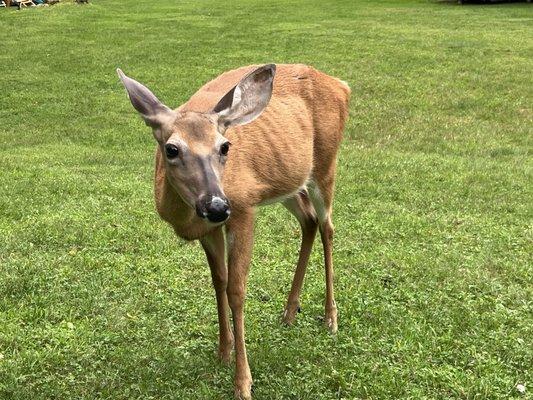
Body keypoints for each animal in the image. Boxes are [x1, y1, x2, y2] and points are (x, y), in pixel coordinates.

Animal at [117, 64, 350, 398]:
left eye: (224, 146)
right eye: (171, 149)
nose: (216, 205)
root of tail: (342, 86)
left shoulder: (243, 207)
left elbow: (236, 290)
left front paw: (243, 381)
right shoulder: (210, 229)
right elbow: (219, 282)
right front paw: (223, 352)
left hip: (325, 165)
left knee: (328, 227)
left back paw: (330, 318)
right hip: (289, 182)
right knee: (309, 221)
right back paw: (289, 312)